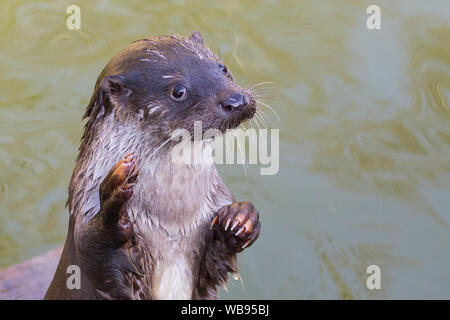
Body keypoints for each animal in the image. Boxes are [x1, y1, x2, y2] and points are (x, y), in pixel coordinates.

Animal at [44, 32, 262, 300]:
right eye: (178, 91)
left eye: (223, 68)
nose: (236, 100)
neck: (172, 223)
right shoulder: (86, 218)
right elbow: (95, 253)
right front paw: (113, 205)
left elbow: (216, 263)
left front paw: (242, 218)